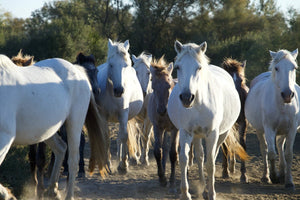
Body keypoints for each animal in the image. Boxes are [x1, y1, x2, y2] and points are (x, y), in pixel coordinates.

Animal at [0, 54, 108, 200]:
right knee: (61, 148)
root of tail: (78, 71)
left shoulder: (5, 137)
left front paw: (8, 195)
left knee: (73, 160)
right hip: (45, 131)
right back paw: (53, 191)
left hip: (74, 123)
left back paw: (67, 195)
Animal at [95, 39, 144, 173]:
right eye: (111, 65)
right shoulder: (103, 116)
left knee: (123, 135)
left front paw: (123, 165)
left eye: (125, 65)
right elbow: (106, 137)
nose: (119, 90)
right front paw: (107, 165)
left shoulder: (123, 113)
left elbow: (123, 137)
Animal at [168, 41, 247, 200]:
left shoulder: (212, 133)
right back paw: (202, 186)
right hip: (197, 135)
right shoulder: (186, 132)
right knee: (200, 156)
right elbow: (184, 159)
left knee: (213, 154)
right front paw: (185, 194)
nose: (187, 98)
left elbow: (210, 163)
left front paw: (211, 193)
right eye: (178, 67)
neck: (199, 103)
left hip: (222, 133)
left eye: (199, 67)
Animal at [245, 48, 298, 189]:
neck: (282, 105)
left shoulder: (292, 129)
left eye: (294, 67)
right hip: (260, 130)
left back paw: (282, 174)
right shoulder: (269, 128)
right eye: (277, 68)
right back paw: (266, 176)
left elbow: (288, 154)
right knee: (265, 150)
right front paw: (273, 176)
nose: (287, 94)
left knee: (279, 146)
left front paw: (289, 181)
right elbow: (271, 153)